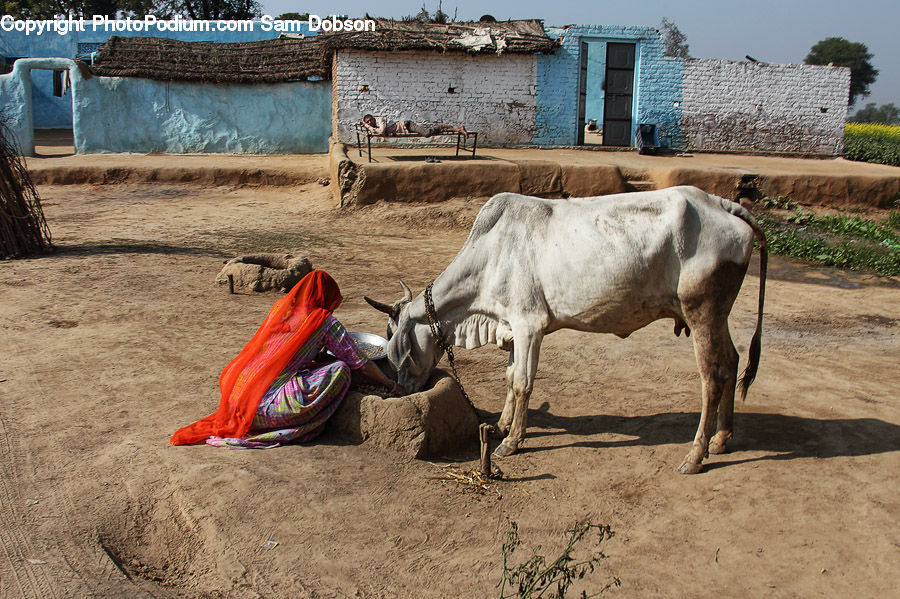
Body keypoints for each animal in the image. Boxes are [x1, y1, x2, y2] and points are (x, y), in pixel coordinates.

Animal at [365, 186, 767, 474]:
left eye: (395, 342)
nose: (403, 390)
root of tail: (721, 204)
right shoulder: (512, 326)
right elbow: (510, 376)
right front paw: (502, 425)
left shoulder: (530, 326)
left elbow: (523, 382)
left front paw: (512, 441)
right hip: (718, 315)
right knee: (732, 361)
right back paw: (722, 439)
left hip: (701, 312)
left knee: (712, 377)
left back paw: (696, 455)